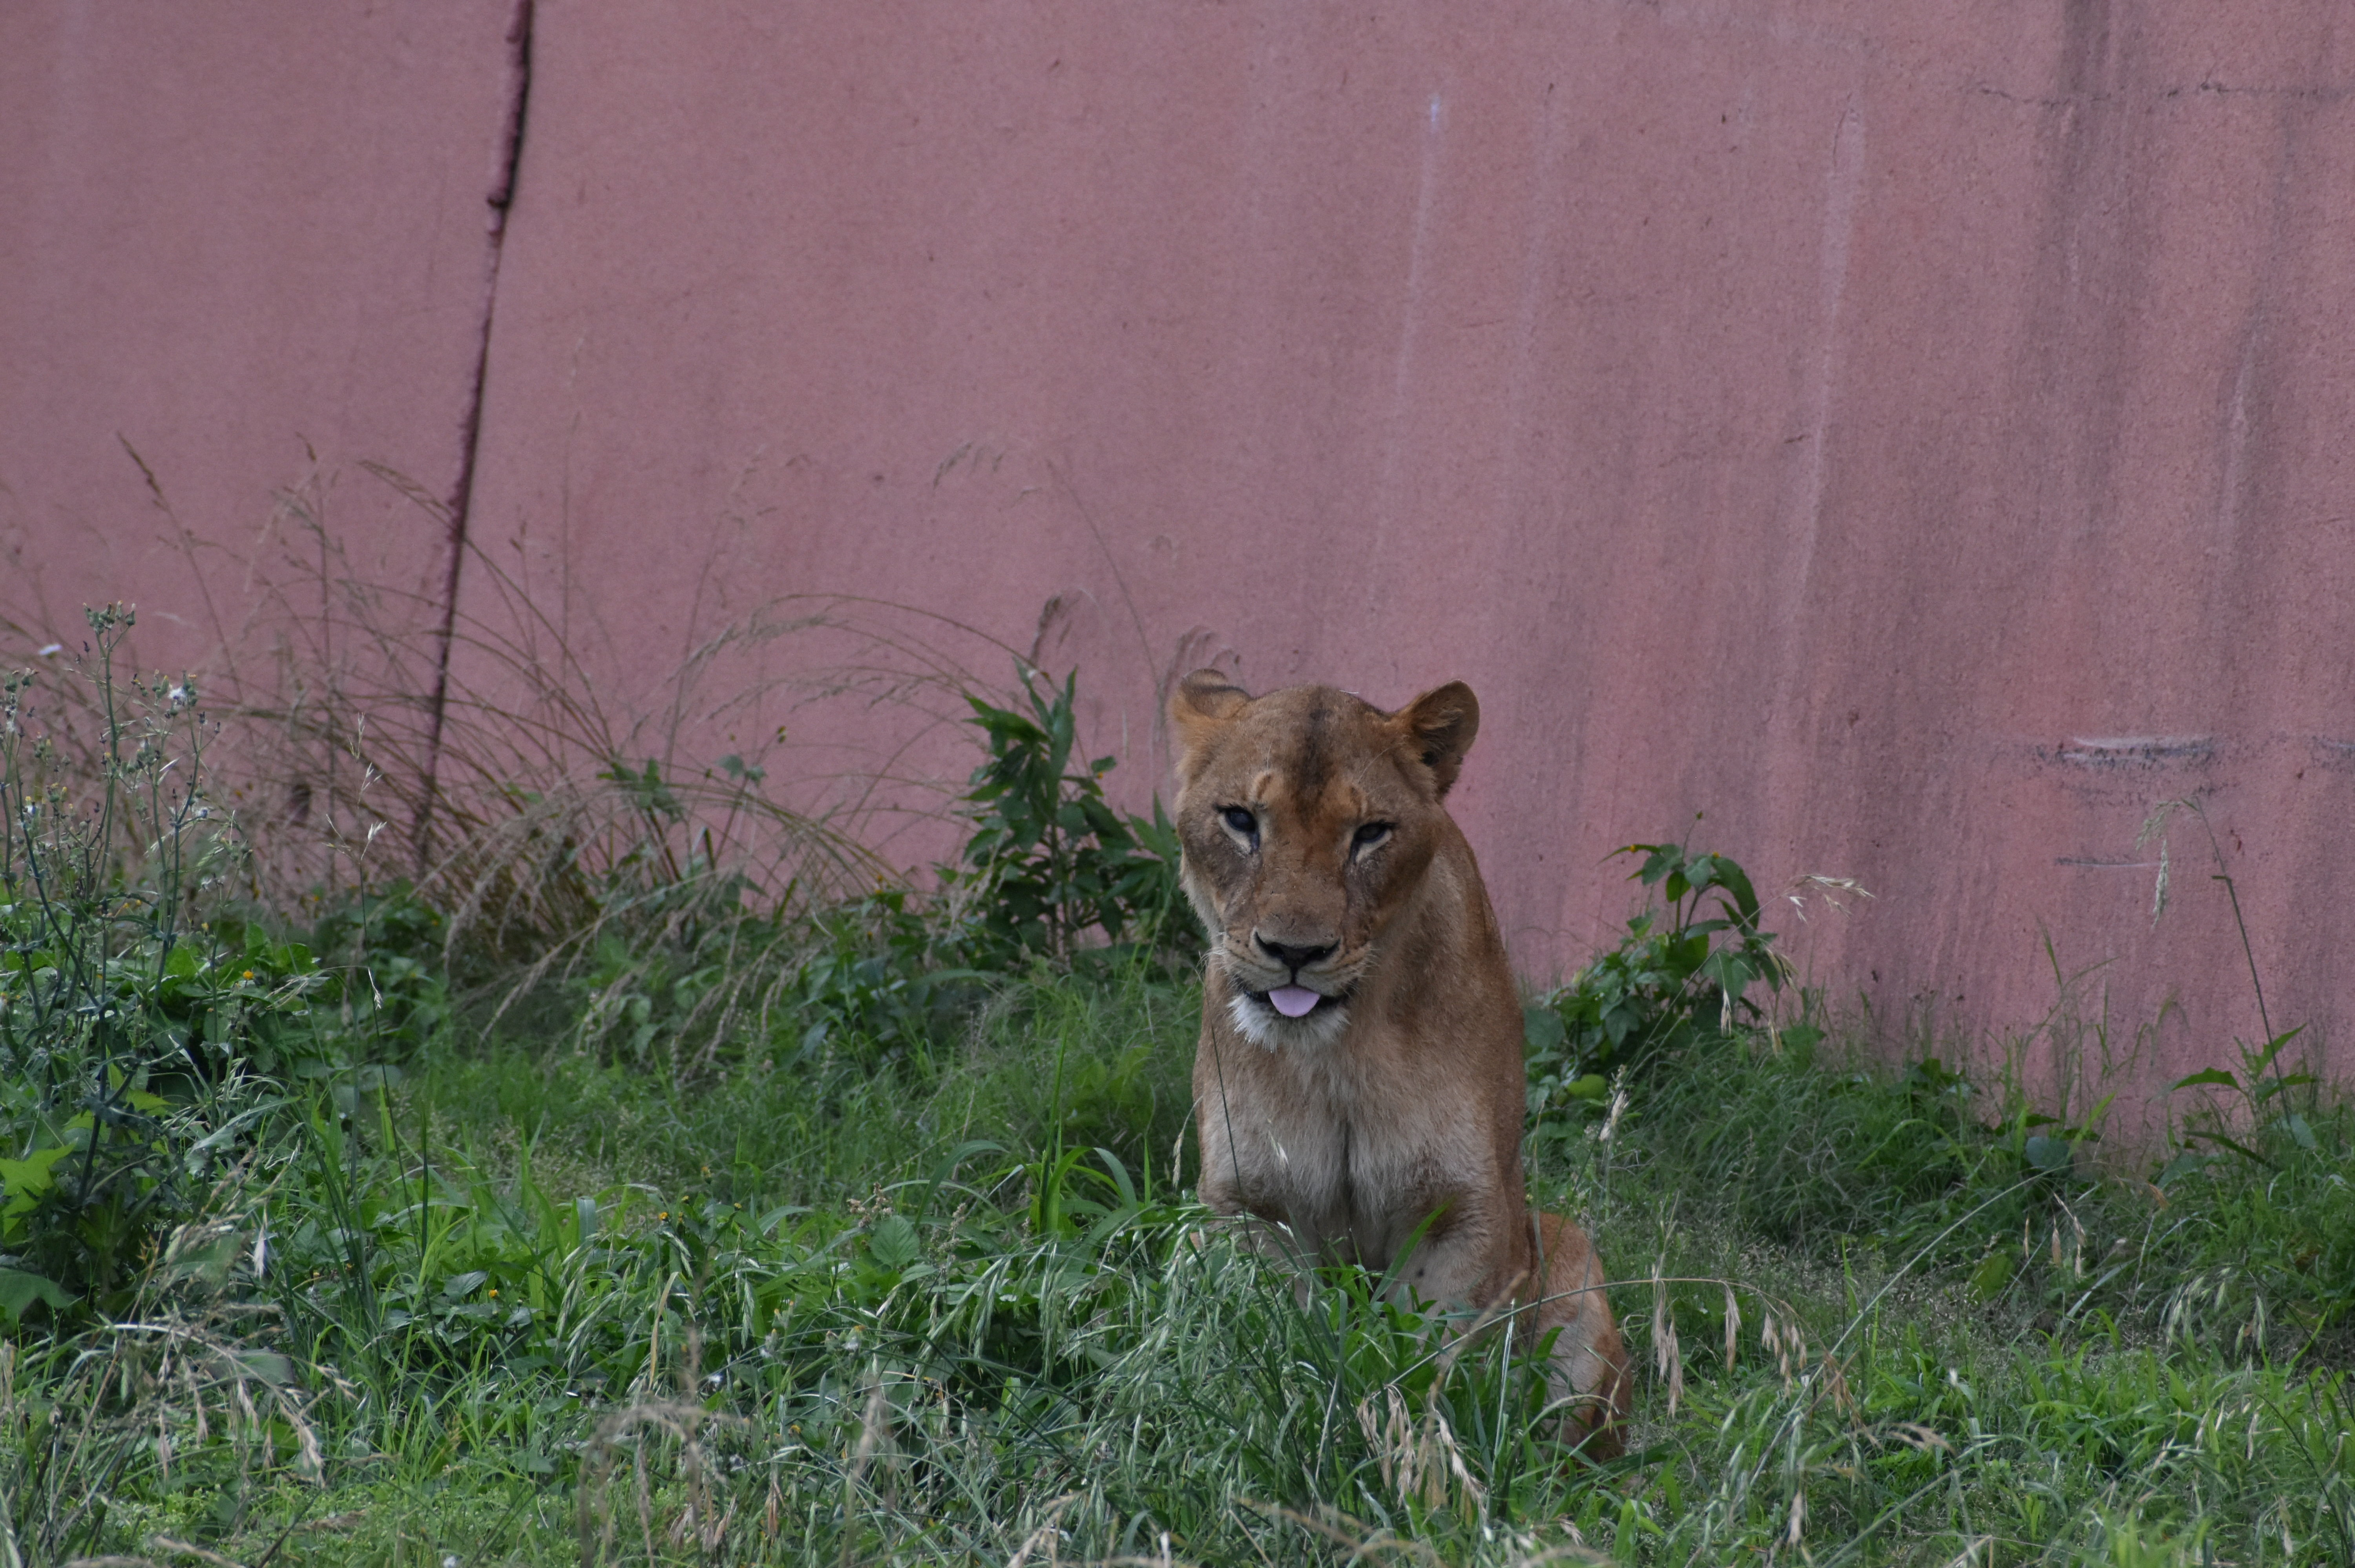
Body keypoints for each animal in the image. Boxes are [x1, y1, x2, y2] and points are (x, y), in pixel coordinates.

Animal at [1167, 669, 1630, 1456]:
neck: (1340, 1056)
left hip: (1566, 1251)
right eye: (1241, 820)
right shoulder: (1245, 1207)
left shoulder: (1468, 1216)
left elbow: (1423, 1362)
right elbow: (1274, 1341)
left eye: (1371, 833)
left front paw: (1409, 1447)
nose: (1295, 951)